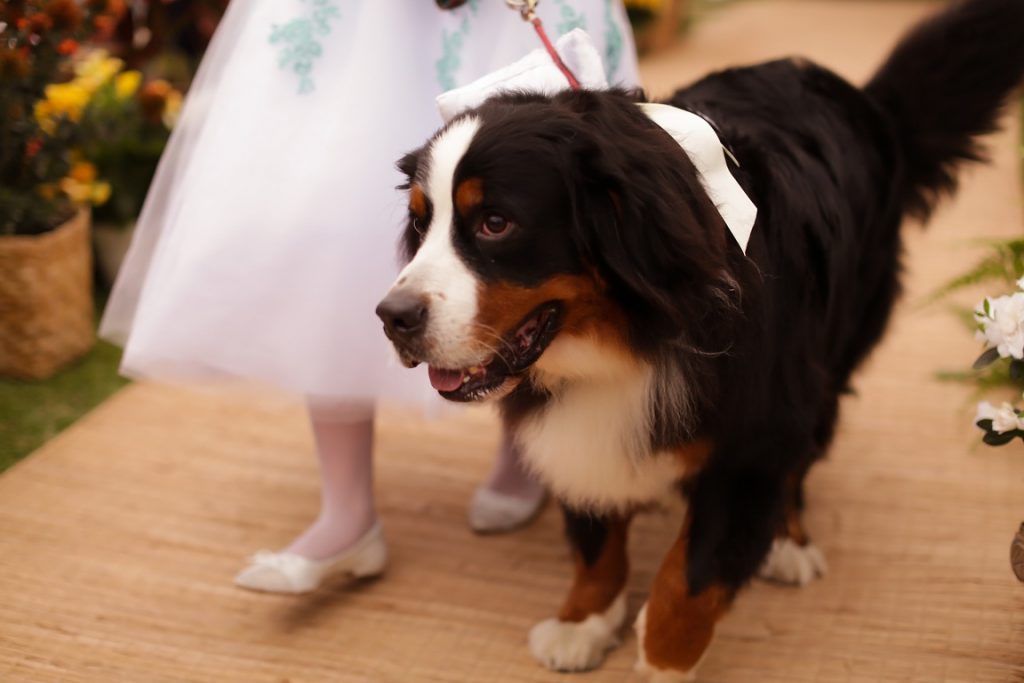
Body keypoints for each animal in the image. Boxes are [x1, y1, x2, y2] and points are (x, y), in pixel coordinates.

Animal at [376, 0, 1024, 679]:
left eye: (496, 223)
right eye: (421, 224)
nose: (392, 316)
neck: (625, 341)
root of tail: (866, 102)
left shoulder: (754, 435)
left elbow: (691, 580)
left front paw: (662, 658)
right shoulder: (573, 429)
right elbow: (595, 537)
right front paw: (584, 619)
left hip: (830, 350)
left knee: (803, 455)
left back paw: (788, 542)